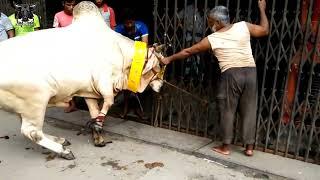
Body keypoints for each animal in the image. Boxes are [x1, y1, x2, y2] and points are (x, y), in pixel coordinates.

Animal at [0, 1, 164, 159]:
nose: (162, 86)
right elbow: (109, 101)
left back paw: (60, 140)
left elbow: (94, 111)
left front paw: (98, 135)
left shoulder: (89, 89)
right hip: (36, 101)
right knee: (32, 132)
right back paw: (63, 150)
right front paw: (97, 127)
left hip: (25, 107)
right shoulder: (103, 81)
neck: (121, 52)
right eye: (160, 65)